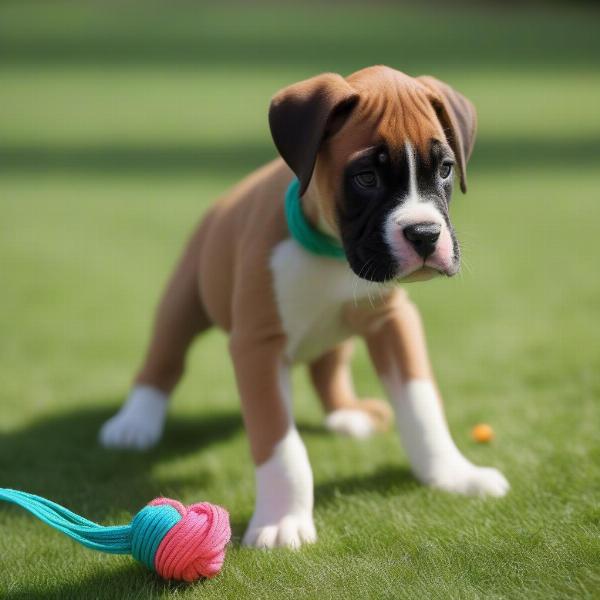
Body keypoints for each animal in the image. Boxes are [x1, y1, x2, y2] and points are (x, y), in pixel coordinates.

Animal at [101, 65, 508, 548]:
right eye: (366, 177)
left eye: (445, 169)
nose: (425, 235)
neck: (330, 251)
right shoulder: (258, 347)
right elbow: (281, 445)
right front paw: (282, 519)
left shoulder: (393, 323)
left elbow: (422, 407)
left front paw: (453, 475)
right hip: (184, 301)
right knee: (164, 359)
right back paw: (135, 423)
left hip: (338, 334)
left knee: (327, 368)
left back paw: (348, 414)